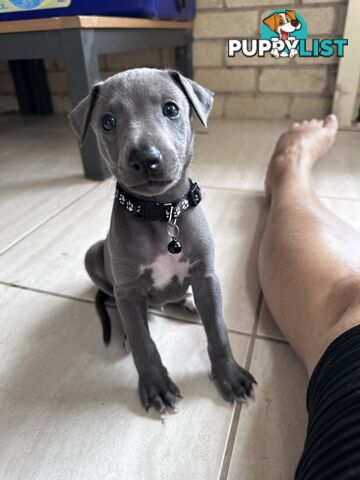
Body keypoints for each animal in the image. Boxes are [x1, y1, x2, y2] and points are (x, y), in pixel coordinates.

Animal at [69, 67, 256, 412]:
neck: (161, 213)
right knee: (122, 308)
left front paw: (230, 375)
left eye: (171, 108)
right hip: (94, 255)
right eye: (107, 121)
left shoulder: (206, 276)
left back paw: (188, 303)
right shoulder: (129, 290)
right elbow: (144, 343)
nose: (146, 158)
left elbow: (218, 330)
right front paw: (156, 385)